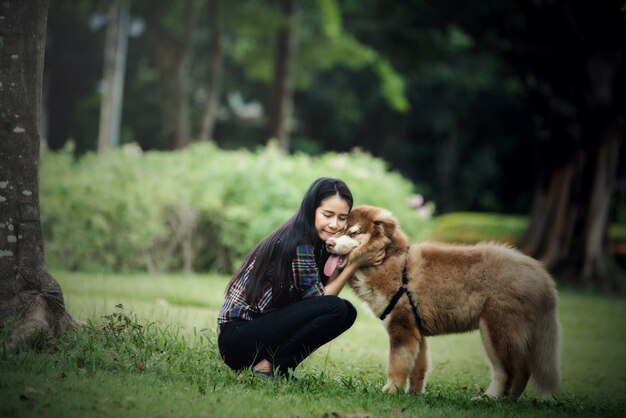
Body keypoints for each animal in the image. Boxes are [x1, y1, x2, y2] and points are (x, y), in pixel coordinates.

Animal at [324, 206, 560, 402]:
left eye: (353, 232)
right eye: (337, 229)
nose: (328, 243)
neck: (390, 260)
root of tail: (540, 275)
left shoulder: (401, 327)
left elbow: (396, 365)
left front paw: (390, 391)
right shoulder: (416, 330)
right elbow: (418, 368)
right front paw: (413, 395)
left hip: (497, 330)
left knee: (512, 371)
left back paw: (494, 399)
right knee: (517, 371)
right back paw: (503, 399)